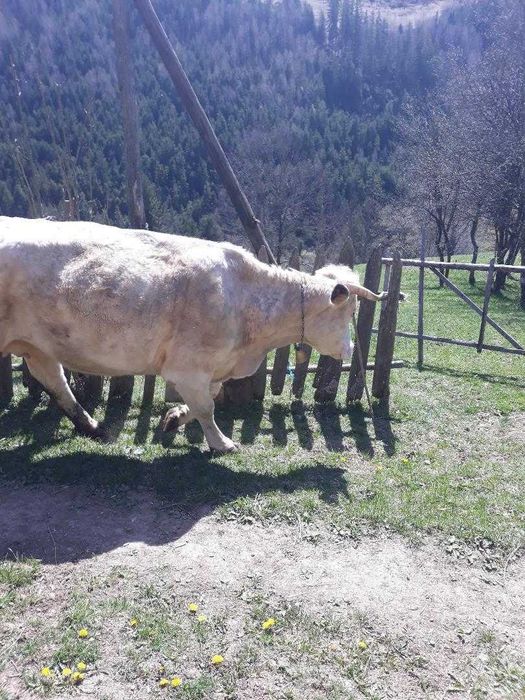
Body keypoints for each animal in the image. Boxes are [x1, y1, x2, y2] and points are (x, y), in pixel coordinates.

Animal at [0, 217, 387, 452]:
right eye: (346, 312)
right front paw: (222, 443)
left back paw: (92, 426)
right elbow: (207, 406)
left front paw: (174, 419)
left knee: (53, 378)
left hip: (36, 344)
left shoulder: (211, 367)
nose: (350, 351)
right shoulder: (189, 366)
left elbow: (207, 400)